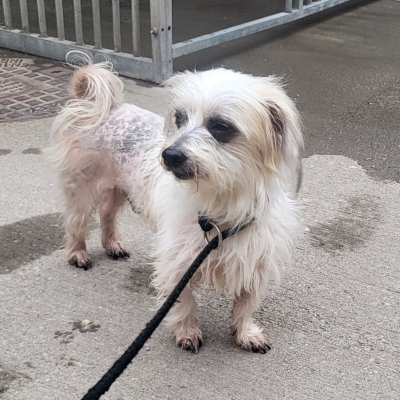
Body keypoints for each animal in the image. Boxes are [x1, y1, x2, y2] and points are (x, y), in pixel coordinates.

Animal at [51, 56, 304, 354]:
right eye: (179, 118)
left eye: (221, 127)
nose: (169, 155)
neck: (222, 205)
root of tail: (109, 107)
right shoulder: (178, 261)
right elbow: (184, 301)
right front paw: (187, 331)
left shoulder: (255, 260)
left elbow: (246, 303)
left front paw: (245, 332)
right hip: (83, 189)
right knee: (76, 223)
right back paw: (78, 253)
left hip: (118, 188)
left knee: (107, 214)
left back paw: (112, 244)